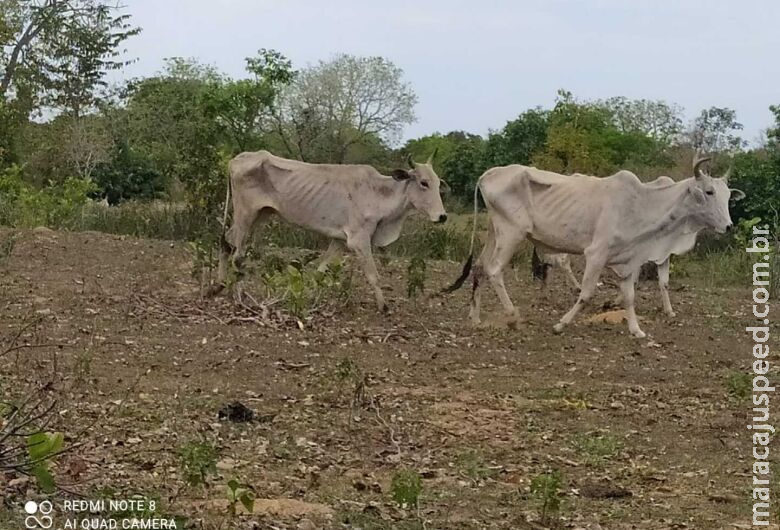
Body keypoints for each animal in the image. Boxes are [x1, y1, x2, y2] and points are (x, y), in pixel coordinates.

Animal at [216, 148, 448, 310]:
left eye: (438, 183)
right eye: (424, 183)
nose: (442, 216)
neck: (378, 194)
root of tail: (237, 159)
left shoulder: (340, 240)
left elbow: (320, 270)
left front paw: (306, 297)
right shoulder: (359, 241)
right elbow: (373, 275)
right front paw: (384, 306)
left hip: (259, 215)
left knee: (226, 242)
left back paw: (219, 286)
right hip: (245, 215)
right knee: (237, 254)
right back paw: (238, 295)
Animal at [444, 153, 744, 336]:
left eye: (728, 195)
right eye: (709, 192)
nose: (728, 226)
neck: (641, 203)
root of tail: (487, 175)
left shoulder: (629, 260)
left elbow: (630, 296)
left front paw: (637, 330)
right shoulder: (596, 254)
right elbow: (587, 293)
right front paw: (560, 324)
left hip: (495, 232)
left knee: (479, 268)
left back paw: (475, 318)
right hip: (511, 234)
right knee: (494, 270)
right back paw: (513, 316)